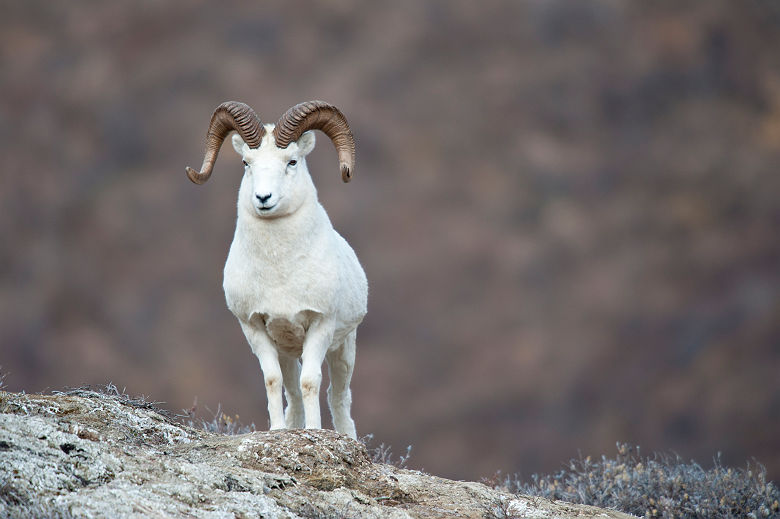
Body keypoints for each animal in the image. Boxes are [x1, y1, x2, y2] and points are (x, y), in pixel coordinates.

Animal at [185, 101, 366, 438]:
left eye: (291, 161)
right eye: (246, 163)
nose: (263, 198)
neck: (280, 271)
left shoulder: (321, 325)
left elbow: (311, 383)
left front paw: (313, 431)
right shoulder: (255, 328)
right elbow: (273, 381)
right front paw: (279, 431)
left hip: (343, 348)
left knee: (338, 396)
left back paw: (346, 436)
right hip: (287, 351)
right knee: (292, 393)